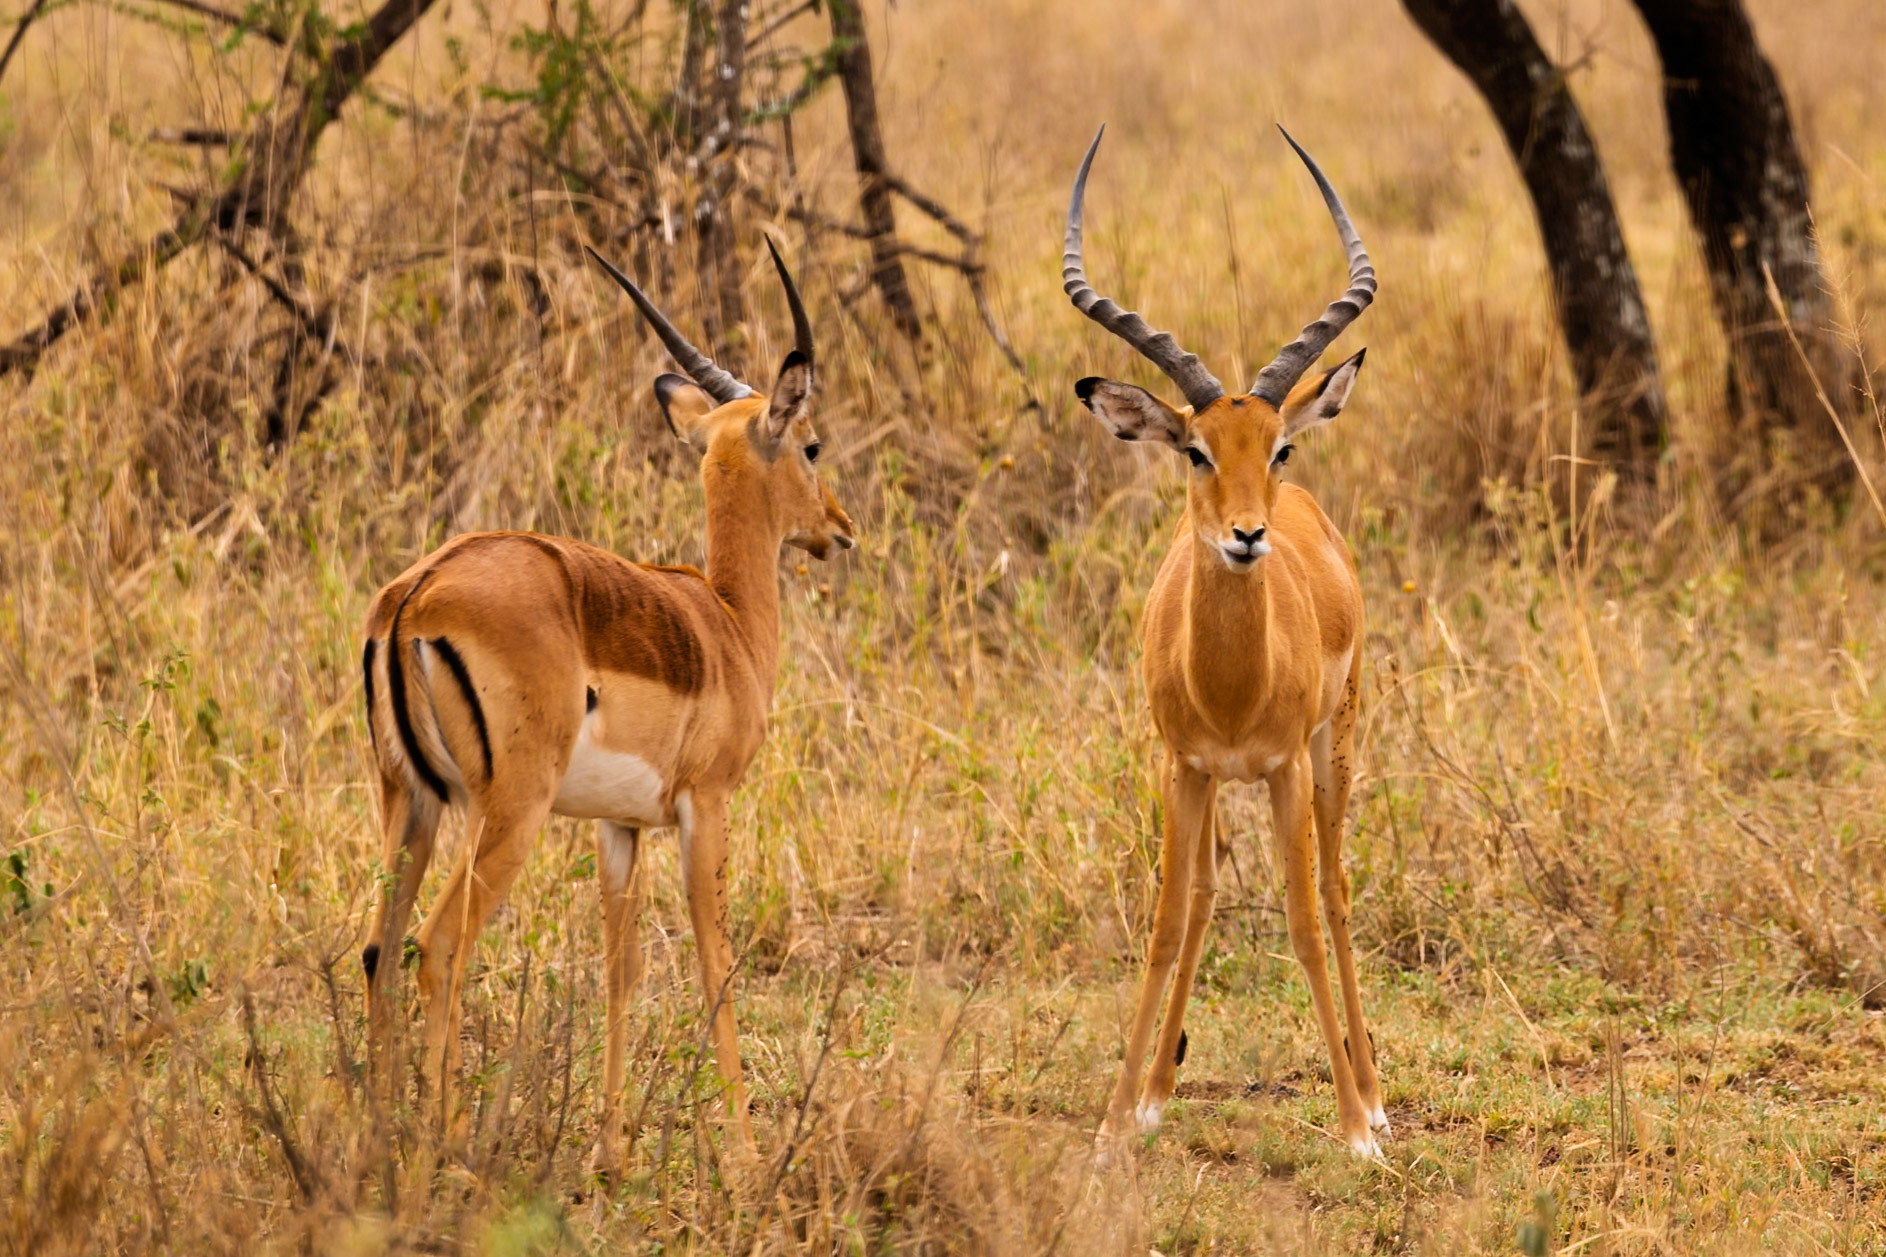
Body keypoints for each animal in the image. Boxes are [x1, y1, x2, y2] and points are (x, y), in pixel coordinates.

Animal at [359, 238, 854, 1162]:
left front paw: (613, 1149)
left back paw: (370, 1137)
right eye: (811, 444)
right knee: (436, 948)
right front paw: (743, 1153)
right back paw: (446, 1145)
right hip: (508, 810)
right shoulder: (705, 806)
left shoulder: (618, 828)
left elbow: (621, 968)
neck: (726, 624)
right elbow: (714, 961)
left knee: (376, 947)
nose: (840, 528)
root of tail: (416, 594)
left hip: (411, 802)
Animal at [1063, 126, 1387, 1158]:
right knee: (1205, 895)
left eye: (1278, 445)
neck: (1232, 688)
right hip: (1215, 781)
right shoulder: (1182, 763)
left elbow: (1301, 917)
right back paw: (1160, 1091)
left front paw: (1356, 1128)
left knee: (1335, 888)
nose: (1247, 536)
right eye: (1196, 450)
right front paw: (1116, 1121)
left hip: (1335, 746)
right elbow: (1169, 921)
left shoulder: (1280, 764)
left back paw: (1376, 1094)